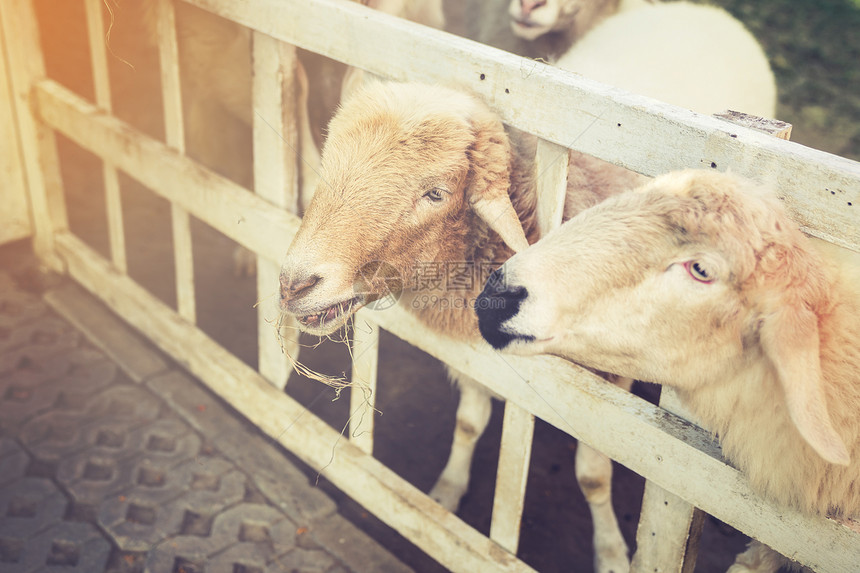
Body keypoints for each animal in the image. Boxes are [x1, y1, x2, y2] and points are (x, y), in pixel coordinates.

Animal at [278, 79, 640, 572]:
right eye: (329, 164)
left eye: (436, 193)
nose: (295, 283)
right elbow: (469, 423)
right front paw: (446, 493)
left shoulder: (608, 388)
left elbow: (594, 477)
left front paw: (612, 552)